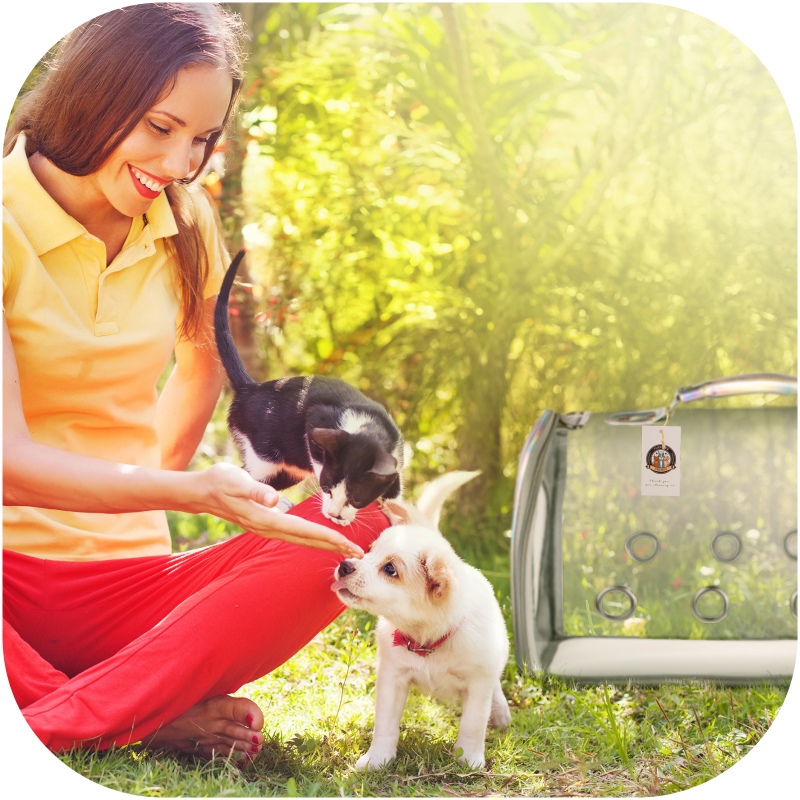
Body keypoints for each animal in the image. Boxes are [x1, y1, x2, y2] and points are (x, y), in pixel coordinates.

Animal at [212, 252, 404, 524]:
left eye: (357, 499)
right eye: (326, 487)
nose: (334, 515)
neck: (366, 426)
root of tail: (252, 388)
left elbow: (395, 487)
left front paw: (399, 514)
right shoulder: (316, 421)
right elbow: (317, 452)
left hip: (289, 468)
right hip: (264, 455)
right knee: (249, 479)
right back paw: (275, 505)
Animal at [332, 472, 512, 772]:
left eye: (390, 569)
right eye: (369, 551)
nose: (345, 565)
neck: (426, 640)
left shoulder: (478, 684)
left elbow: (473, 725)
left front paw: (469, 760)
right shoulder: (392, 678)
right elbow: (385, 725)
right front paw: (377, 759)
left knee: (495, 689)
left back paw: (501, 713)